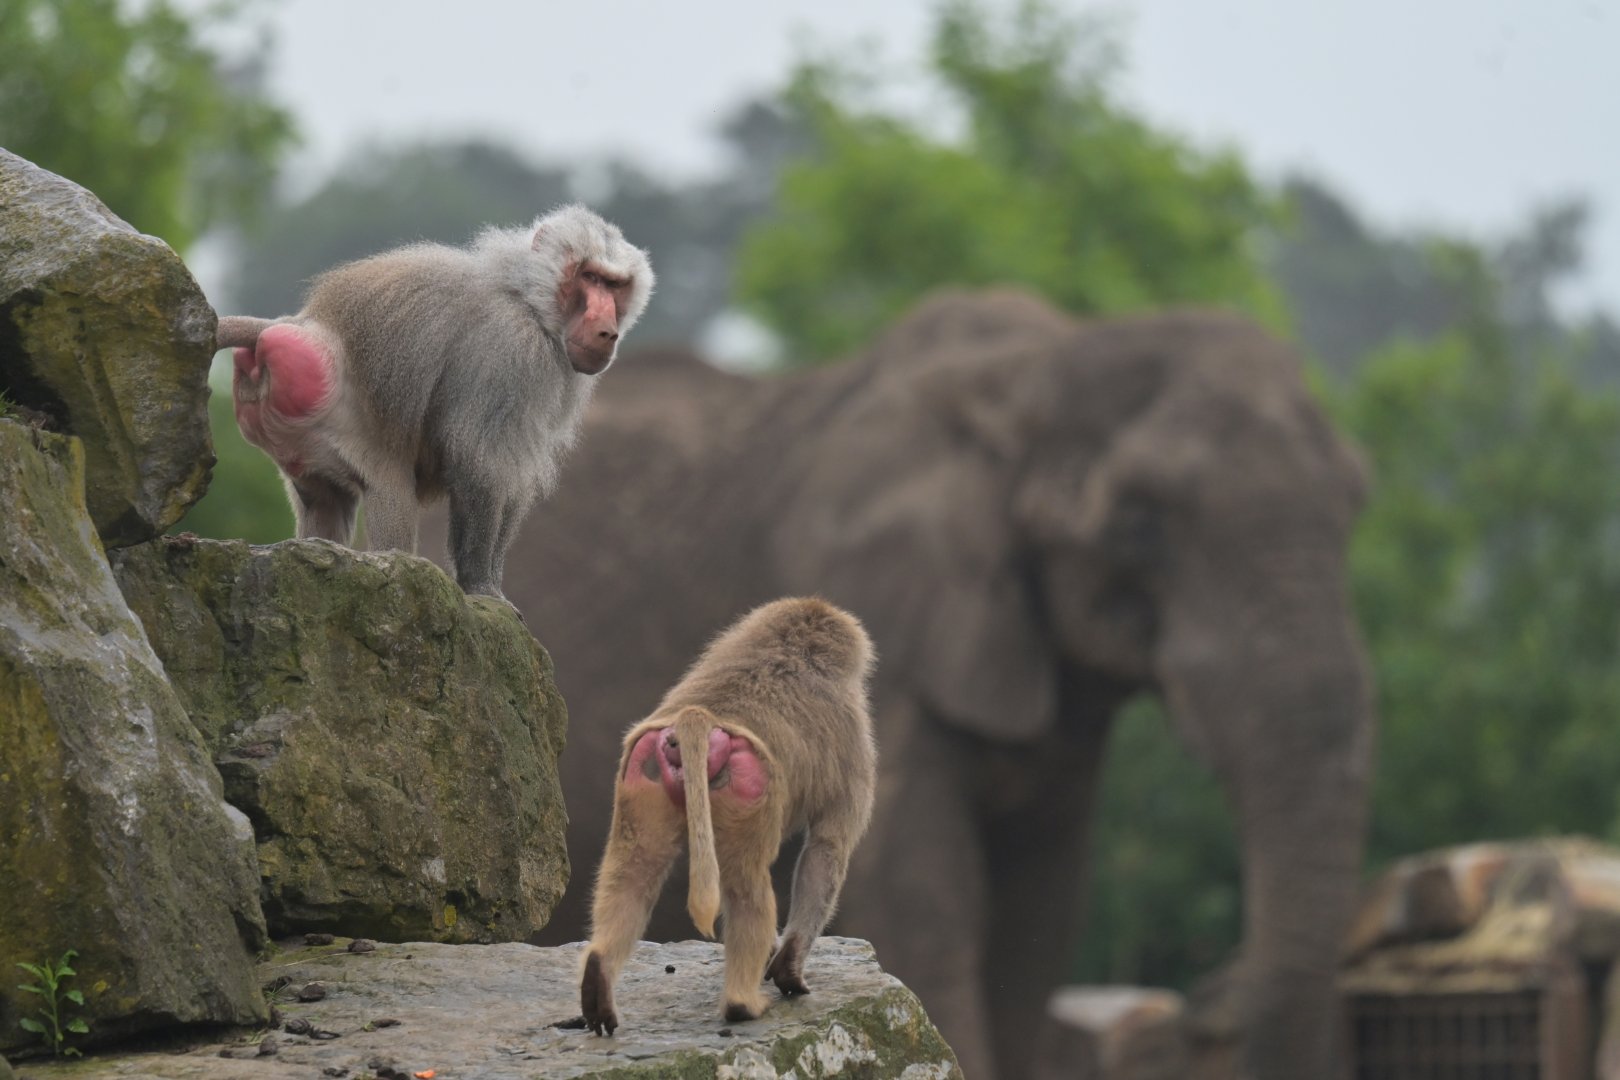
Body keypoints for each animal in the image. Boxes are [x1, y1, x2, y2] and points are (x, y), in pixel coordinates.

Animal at [216, 204, 654, 600]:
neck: (525, 295)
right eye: (589, 277)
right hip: (335, 416)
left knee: (323, 501)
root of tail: (296, 326)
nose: (606, 331)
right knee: (389, 487)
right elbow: (481, 463)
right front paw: (482, 590)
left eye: (615, 285)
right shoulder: (509, 353)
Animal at [579, 597, 877, 1035]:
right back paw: (742, 1005)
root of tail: (701, 720)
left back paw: (597, 981)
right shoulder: (855, 741)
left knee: (634, 873)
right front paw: (788, 970)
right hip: (746, 791)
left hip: (644, 772)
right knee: (746, 886)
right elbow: (827, 850)